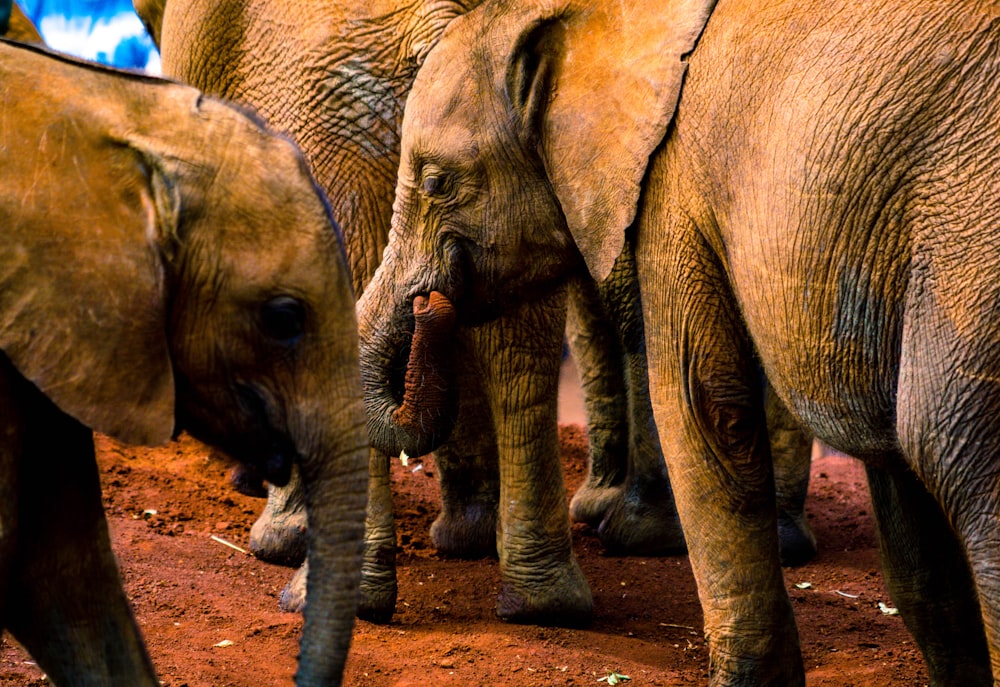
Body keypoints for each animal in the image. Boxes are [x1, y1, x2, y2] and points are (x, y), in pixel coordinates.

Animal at [137, 0, 816, 628]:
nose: (427, 300)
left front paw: (278, 529)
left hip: (330, 120)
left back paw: (325, 591)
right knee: (524, 342)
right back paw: (545, 597)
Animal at [360, 0, 1000, 684]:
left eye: (437, 182)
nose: (430, 304)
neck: (587, 20)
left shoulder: (674, 182)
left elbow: (703, 407)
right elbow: (910, 532)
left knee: (952, 456)